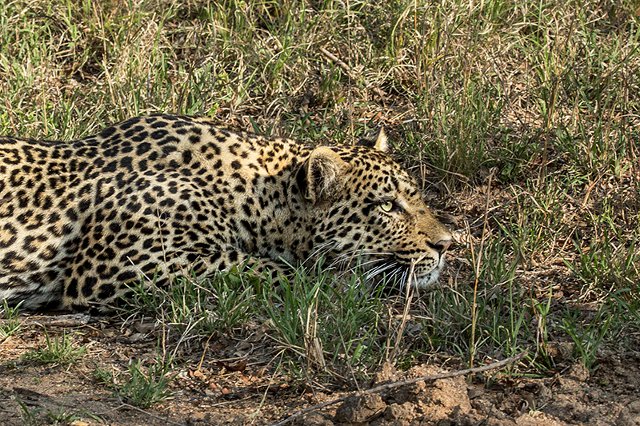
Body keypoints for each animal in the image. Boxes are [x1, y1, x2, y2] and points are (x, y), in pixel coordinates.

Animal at [0, 114, 452, 311]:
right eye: (387, 205)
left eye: (416, 197)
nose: (447, 244)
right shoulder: (117, 267)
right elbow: (262, 266)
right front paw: (336, 283)